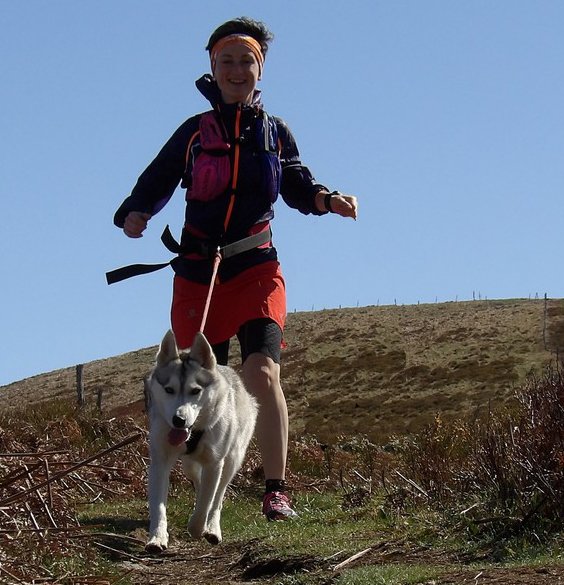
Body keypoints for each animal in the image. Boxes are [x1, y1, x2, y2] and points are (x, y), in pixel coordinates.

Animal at [145, 330, 260, 548]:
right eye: (169, 390)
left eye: (195, 391)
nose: (178, 420)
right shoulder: (160, 462)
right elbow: (158, 507)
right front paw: (157, 537)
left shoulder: (215, 463)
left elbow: (206, 503)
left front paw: (198, 528)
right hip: (188, 464)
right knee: (198, 480)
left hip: (232, 460)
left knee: (217, 498)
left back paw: (213, 527)